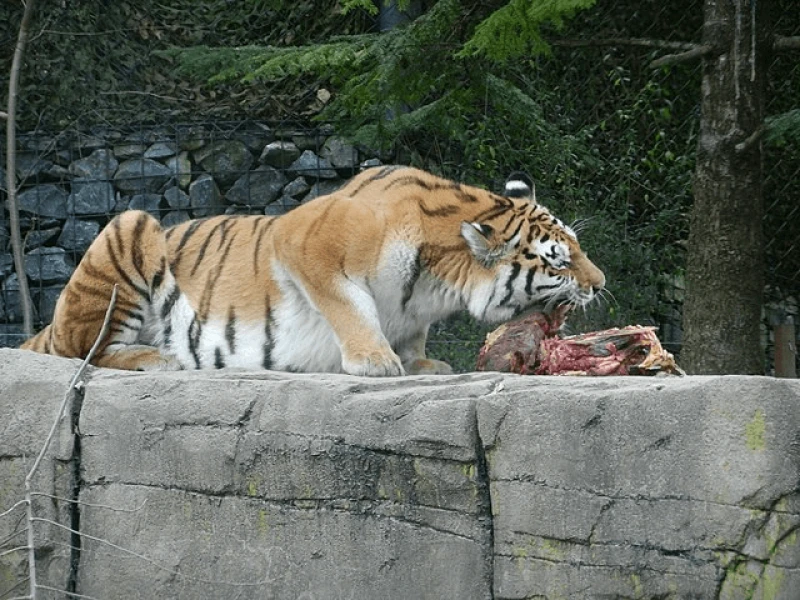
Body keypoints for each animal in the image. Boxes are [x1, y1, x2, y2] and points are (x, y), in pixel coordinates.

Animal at [20, 165, 605, 376]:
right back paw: (157, 357)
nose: (601, 285)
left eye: (576, 247)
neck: (438, 282)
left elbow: (411, 330)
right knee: (82, 350)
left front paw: (420, 362)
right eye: (558, 259)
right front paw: (376, 360)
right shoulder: (303, 237)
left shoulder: (416, 310)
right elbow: (350, 304)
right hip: (130, 225)